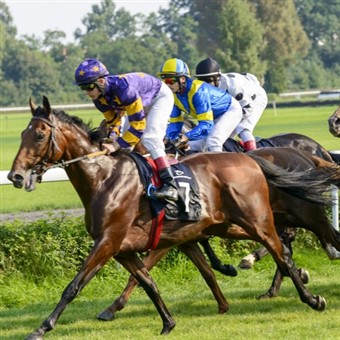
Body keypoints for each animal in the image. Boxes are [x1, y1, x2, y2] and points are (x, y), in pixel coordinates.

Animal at [7, 95, 338, 338]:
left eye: (39, 135)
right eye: (22, 133)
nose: (15, 176)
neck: (105, 178)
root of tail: (251, 160)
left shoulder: (109, 242)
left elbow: (74, 285)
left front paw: (42, 327)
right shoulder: (126, 248)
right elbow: (149, 281)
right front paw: (168, 322)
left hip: (265, 220)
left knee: (289, 248)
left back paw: (312, 297)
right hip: (231, 224)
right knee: (285, 249)